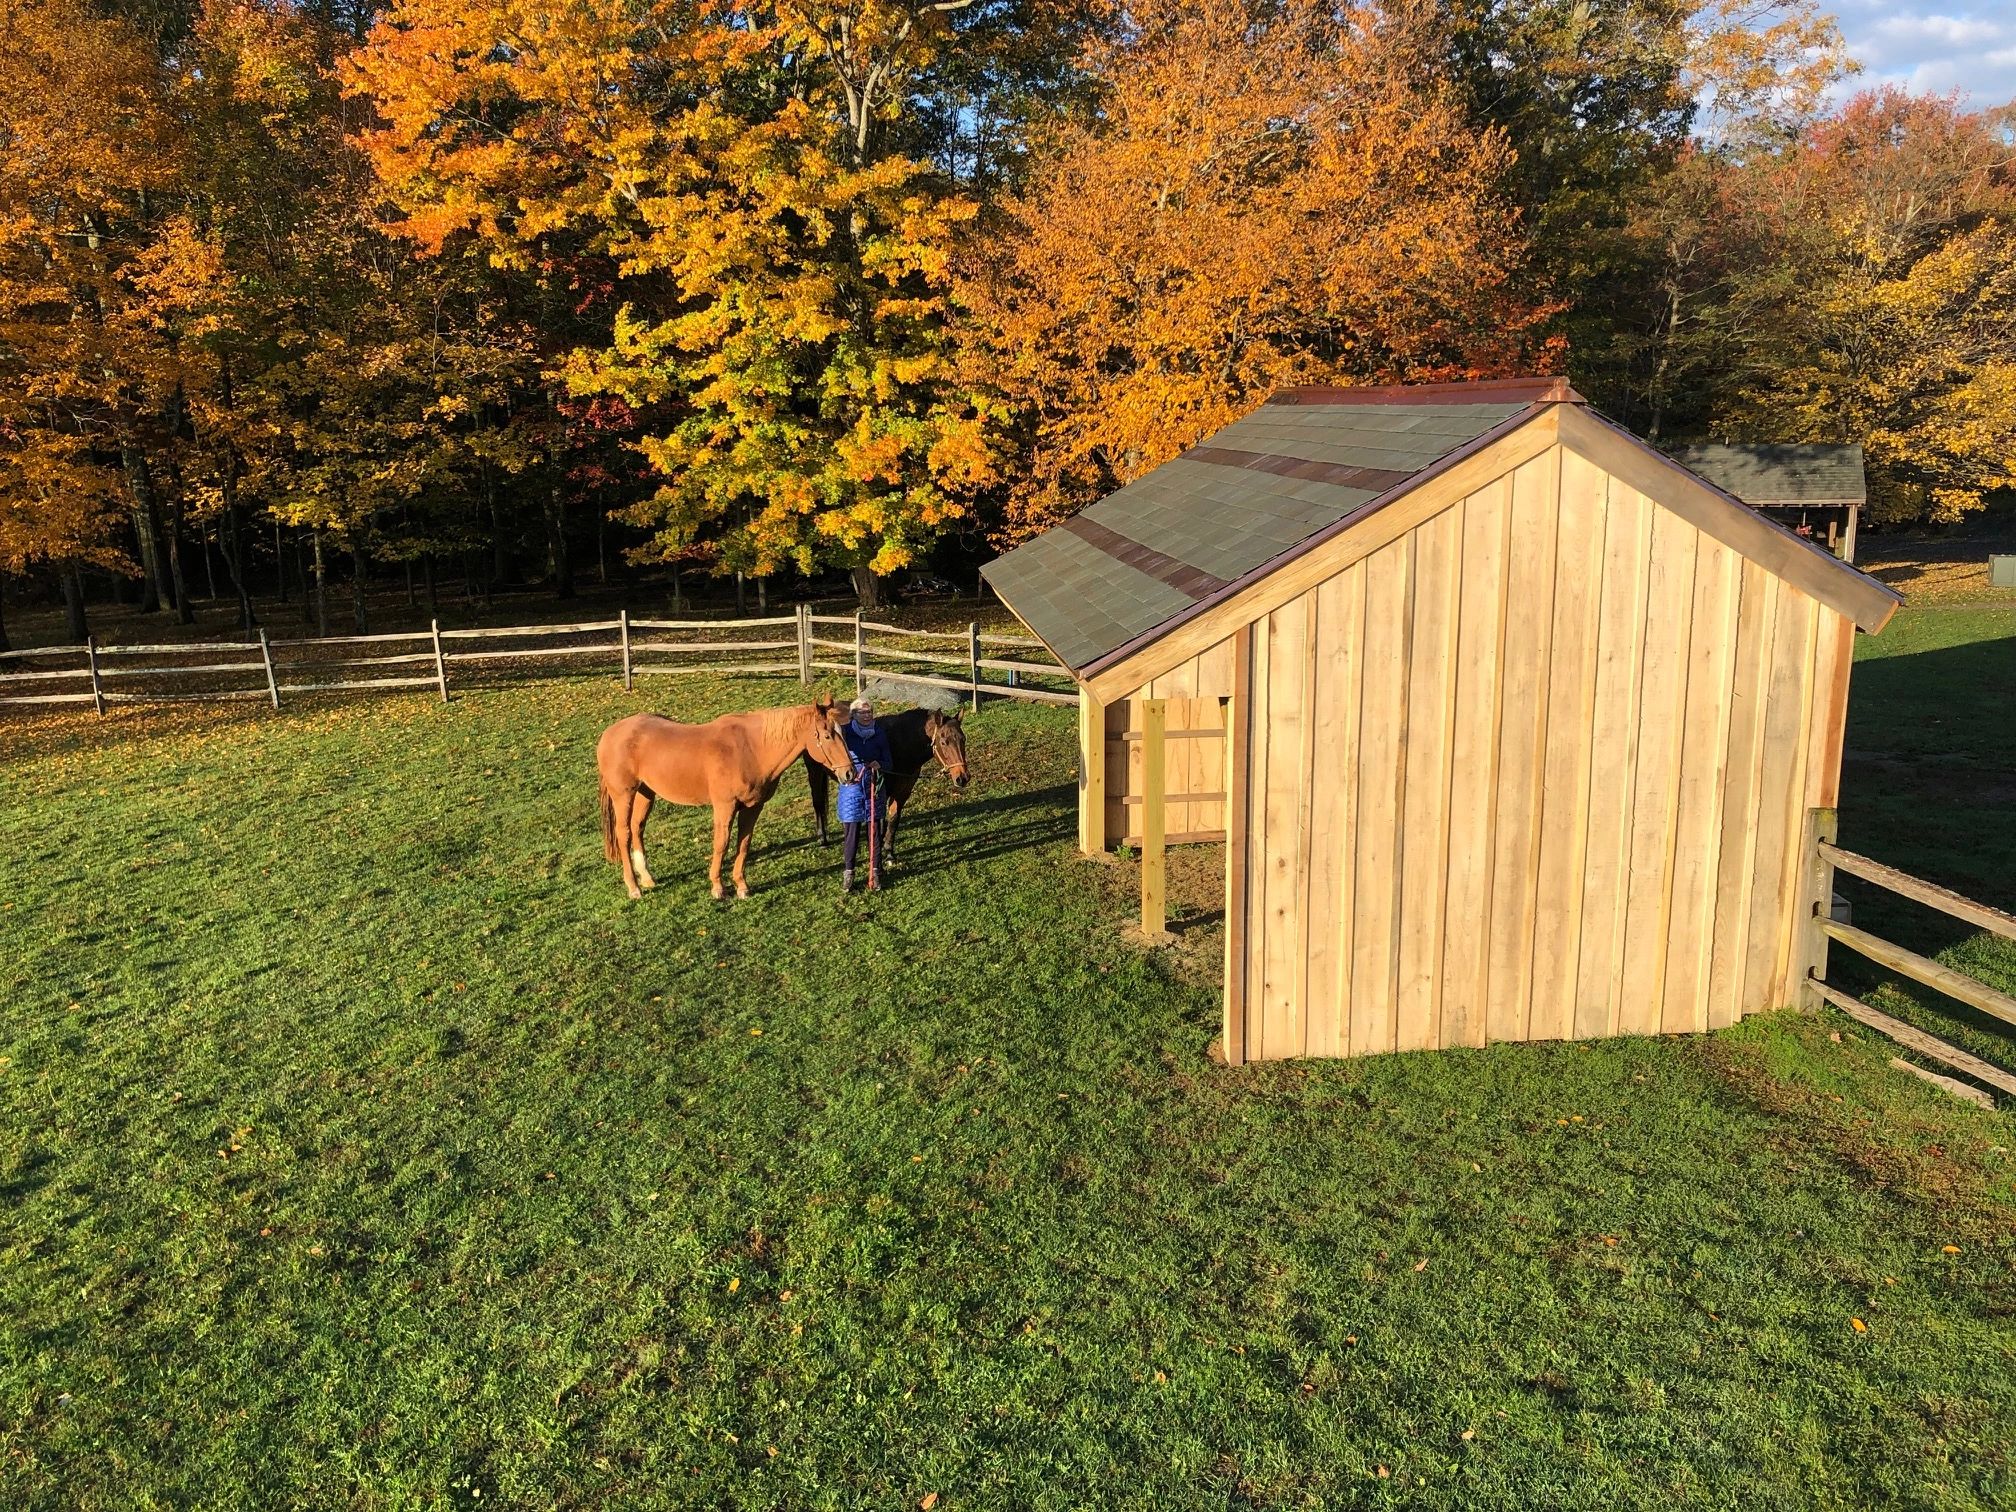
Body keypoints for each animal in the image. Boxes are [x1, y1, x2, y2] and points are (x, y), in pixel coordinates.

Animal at [592, 697, 854, 899]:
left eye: (842, 733)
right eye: (828, 736)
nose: (850, 773)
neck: (751, 749)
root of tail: (609, 733)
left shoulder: (752, 807)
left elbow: (743, 844)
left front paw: (742, 886)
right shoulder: (724, 806)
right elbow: (722, 843)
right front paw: (718, 887)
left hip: (646, 793)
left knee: (637, 828)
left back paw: (646, 878)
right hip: (624, 795)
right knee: (624, 834)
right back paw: (633, 887)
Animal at [802, 709, 967, 862]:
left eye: (963, 739)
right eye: (944, 742)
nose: (962, 778)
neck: (900, 745)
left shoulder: (903, 792)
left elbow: (893, 819)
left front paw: (889, 852)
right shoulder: (880, 790)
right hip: (815, 773)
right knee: (818, 803)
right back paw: (822, 839)